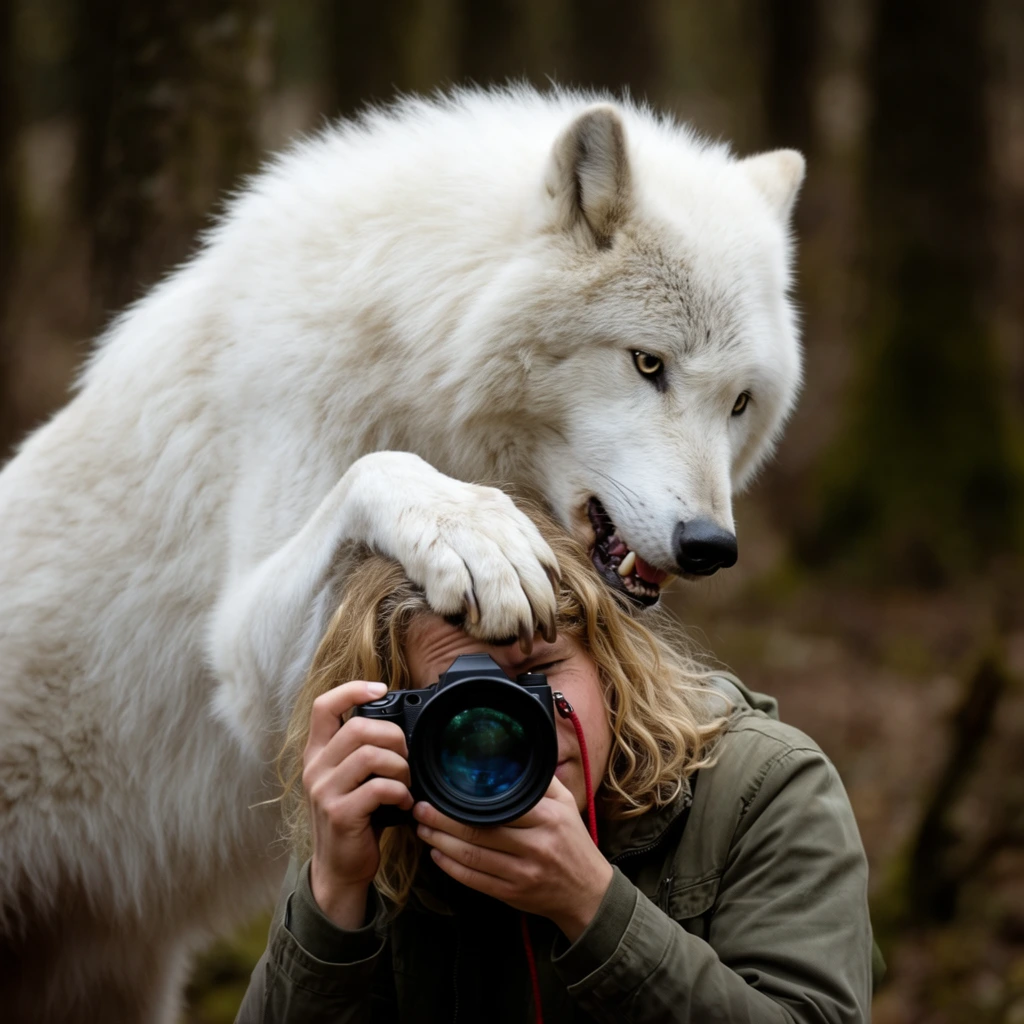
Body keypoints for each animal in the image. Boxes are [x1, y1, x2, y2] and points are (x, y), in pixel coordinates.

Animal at [0, 87, 803, 1021]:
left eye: (740, 402)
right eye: (648, 364)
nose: (711, 546)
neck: (409, 345)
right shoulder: (245, 654)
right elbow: (378, 470)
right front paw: (473, 530)